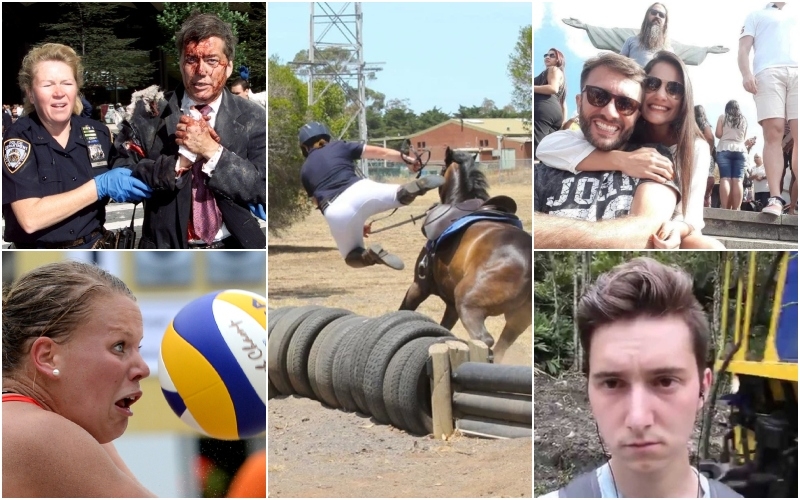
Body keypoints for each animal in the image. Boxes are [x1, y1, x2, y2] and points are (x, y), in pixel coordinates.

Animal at [398, 146, 532, 362]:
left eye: (442, 168)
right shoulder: (451, 306)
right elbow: (443, 327)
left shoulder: (419, 286)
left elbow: (404, 310)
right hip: (517, 320)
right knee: (500, 347)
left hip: (469, 306)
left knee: (485, 340)